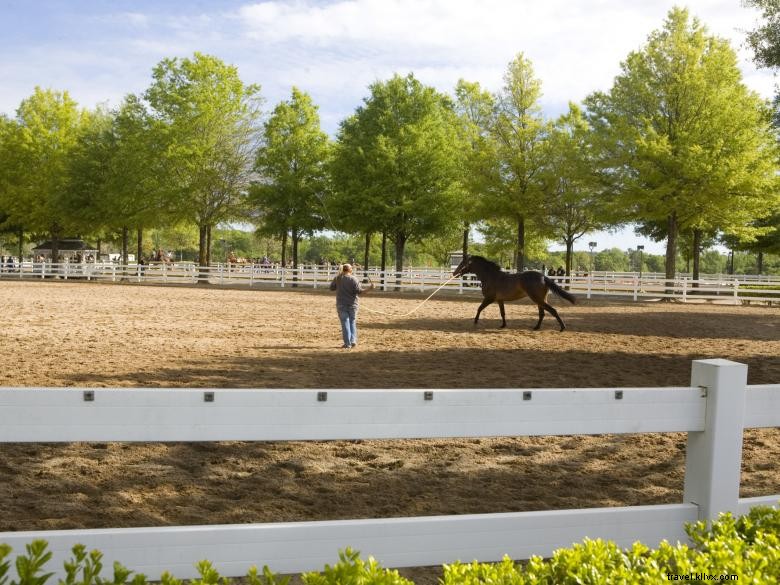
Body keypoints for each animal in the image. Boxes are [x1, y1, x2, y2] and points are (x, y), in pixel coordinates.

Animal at [450, 254, 580, 330]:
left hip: (537, 299)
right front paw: (503, 325)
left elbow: (479, 308)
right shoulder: (499, 300)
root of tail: (543, 277)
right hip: (540, 300)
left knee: (552, 311)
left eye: (463, 263)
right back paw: (536, 327)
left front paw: (475, 321)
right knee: (542, 313)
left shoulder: (489, 298)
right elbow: (502, 313)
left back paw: (562, 327)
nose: (454, 273)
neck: (491, 276)